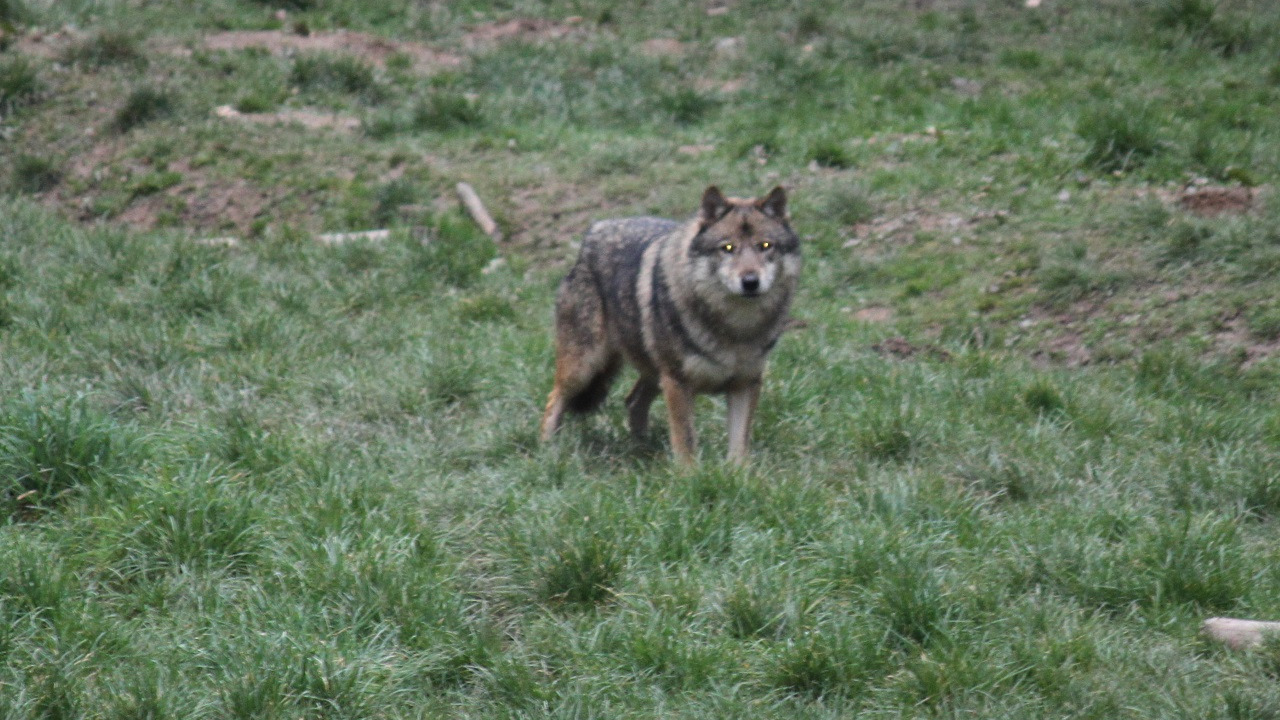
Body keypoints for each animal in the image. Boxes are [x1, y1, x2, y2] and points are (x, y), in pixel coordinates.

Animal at [537, 184, 798, 461]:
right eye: (727, 248)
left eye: (765, 245)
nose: (750, 282)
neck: (734, 327)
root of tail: (594, 230)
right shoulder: (677, 383)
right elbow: (685, 442)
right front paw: (689, 473)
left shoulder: (746, 384)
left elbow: (739, 445)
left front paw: (738, 472)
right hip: (583, 368)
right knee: (554, 398)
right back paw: (548, 450)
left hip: (651, 371)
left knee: (632, 401)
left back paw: (642, 449)